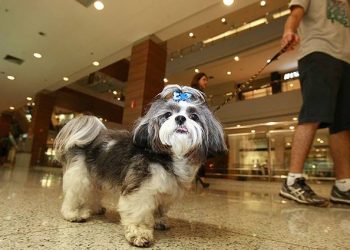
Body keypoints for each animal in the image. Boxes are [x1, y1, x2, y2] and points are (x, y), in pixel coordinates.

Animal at [53, 85, 226, 247]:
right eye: (168, 115)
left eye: (194, 116)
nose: (181, 118)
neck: (169, 156)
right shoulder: (140, 189)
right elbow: (138, 213)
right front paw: (139, 234)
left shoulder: (166, 189)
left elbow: (160, 208)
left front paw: (159, 221)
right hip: (80, 175)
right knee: (75, 194)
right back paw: (73, 213)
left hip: (96, 175)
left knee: (94, 191)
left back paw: (96, 208)